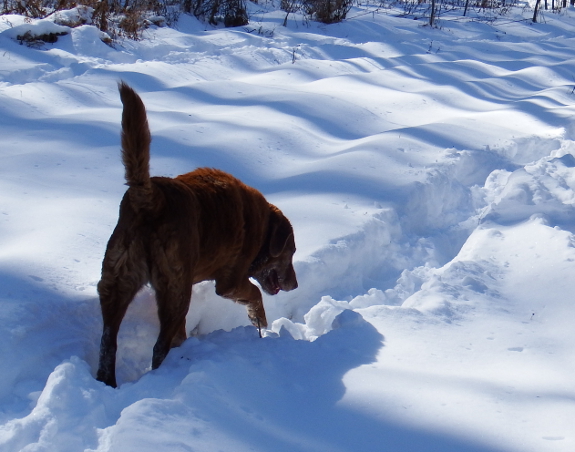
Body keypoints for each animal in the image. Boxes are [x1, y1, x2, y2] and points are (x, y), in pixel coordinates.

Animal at [95, 83, 296, 386]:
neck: (262, 226)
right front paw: (260, 324)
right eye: (291, 252)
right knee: (159, 346)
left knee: (109, 341)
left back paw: (107, 381)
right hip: (176, 291)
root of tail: (150, 198)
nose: (295, 285)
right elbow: (254, 295)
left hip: (117, 281)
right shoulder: (229, 281)